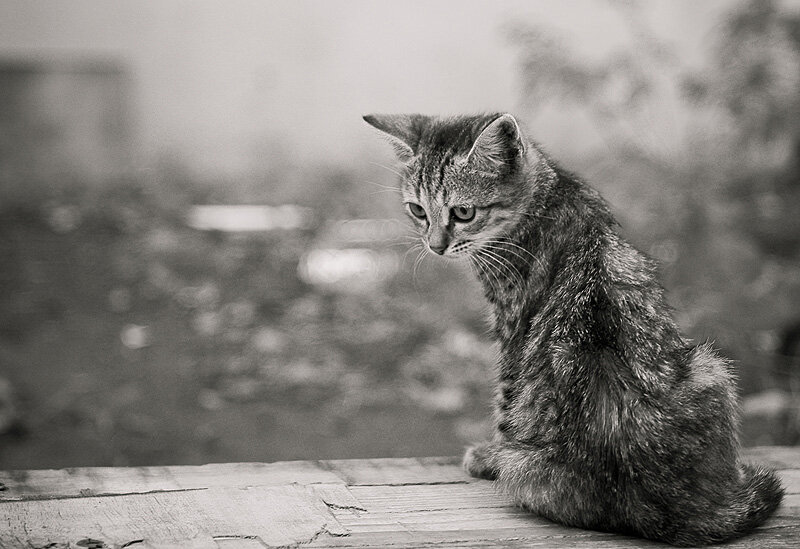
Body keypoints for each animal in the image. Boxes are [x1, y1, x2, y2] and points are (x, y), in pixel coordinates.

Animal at [366, 112, 784, 544]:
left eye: (463, 213)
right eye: (418, 210)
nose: (434, 245)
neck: (547, 197)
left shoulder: (511, 329)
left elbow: (505, 400)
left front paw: (488, 455)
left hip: (709, 367)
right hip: (710, 372)